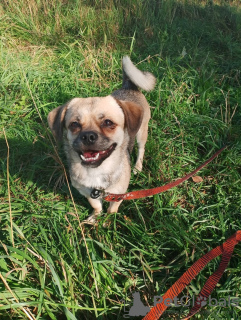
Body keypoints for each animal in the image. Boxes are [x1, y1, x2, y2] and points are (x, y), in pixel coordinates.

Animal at [48, 57, 155, 222]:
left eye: (108, 123)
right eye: (74, 124)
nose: (88, 136)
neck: (96, 172)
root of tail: (129, 86)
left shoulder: (118, 195)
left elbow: (112, 210)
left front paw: (109, 222)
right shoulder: (88, 193)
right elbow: (96, 206)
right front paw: (95, 218)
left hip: (141, 133)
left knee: (141, 149)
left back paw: (138, 167)